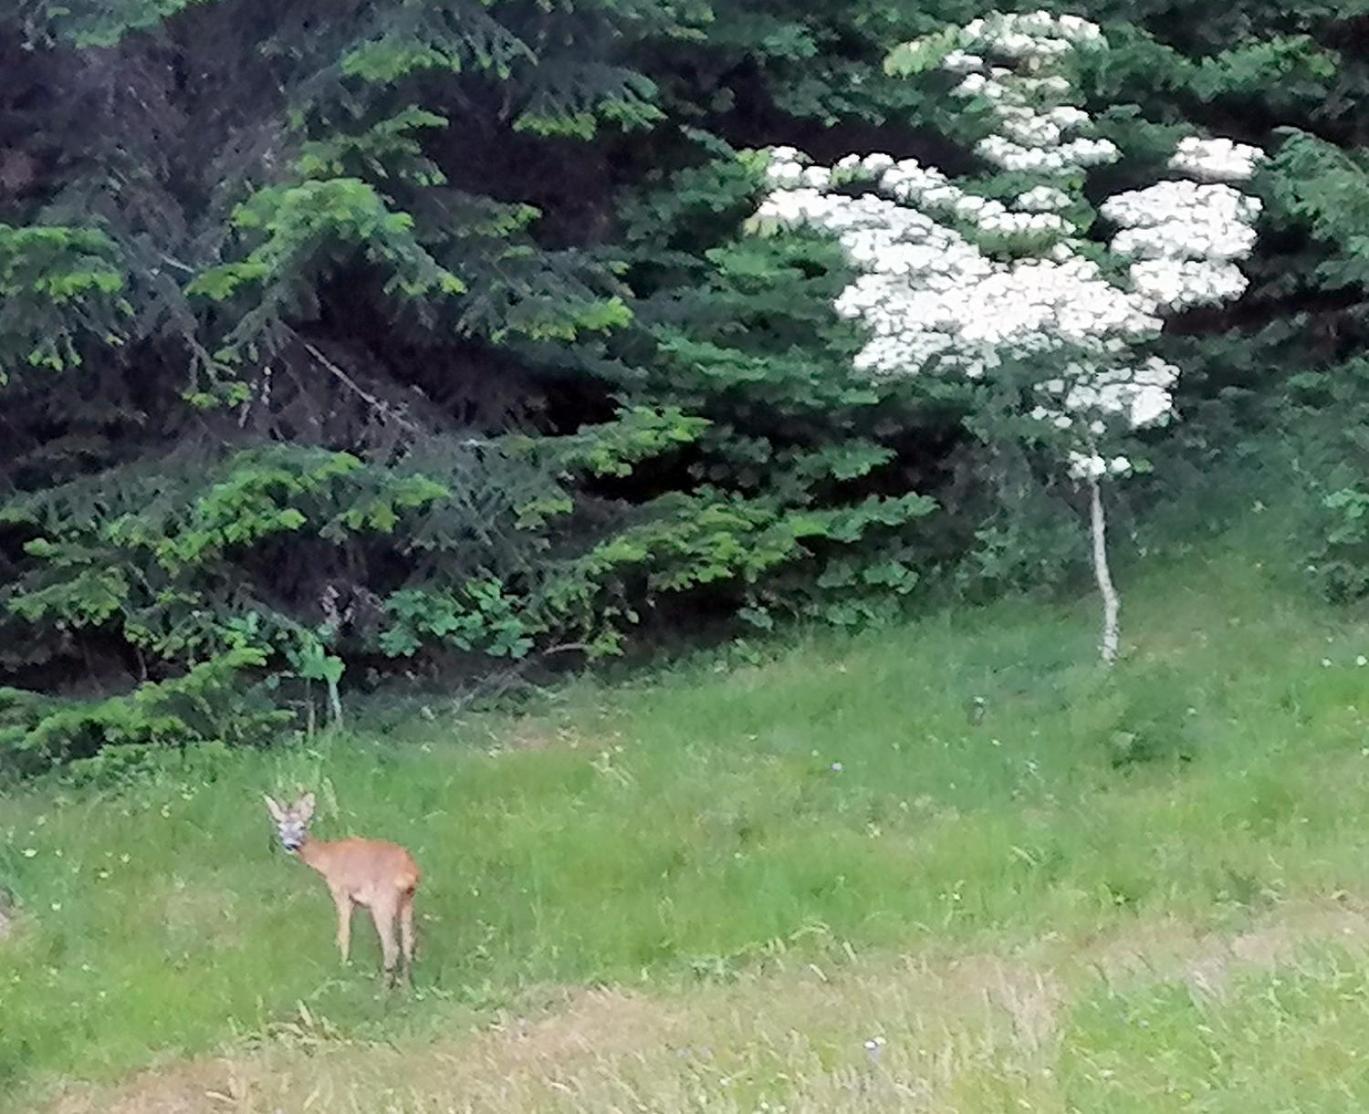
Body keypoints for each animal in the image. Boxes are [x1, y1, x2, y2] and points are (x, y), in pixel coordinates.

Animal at [264, 788, 418, 990]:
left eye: (302, 827)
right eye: (280, 827)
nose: (290, 845)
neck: (328, 859)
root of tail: (409, 871)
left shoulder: (341, 891)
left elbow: (344, 934)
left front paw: (343, 968)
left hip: (382, 902)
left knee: (392, 947)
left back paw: (383, 990)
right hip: (407, 900)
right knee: (408, 943)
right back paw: (406, 988)